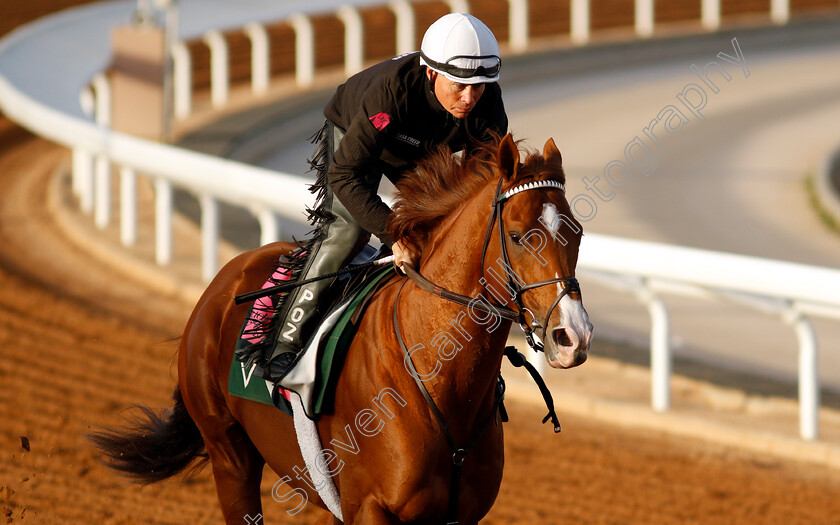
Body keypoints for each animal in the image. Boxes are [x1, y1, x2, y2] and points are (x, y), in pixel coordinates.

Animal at [90, 135, 592, 524]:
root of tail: (224, 280)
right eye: (519, 235)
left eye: (579, 232)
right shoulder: (370, 507)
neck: (435, 375)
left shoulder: (458, 515)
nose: (574, 336)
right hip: (228, 454)